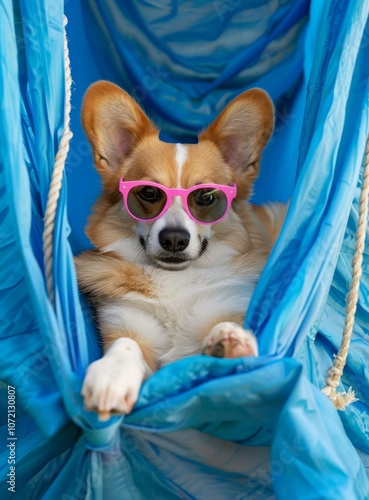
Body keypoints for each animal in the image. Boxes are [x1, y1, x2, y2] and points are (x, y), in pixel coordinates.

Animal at [75, 80, 286, 420]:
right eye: (149, 193)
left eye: (206, 196)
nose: (174, 239)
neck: (174, 278)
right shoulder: (125, 324)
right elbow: (126, 346)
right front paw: (111, 375)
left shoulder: (227, 306)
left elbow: (224, 324)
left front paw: (230, 340)